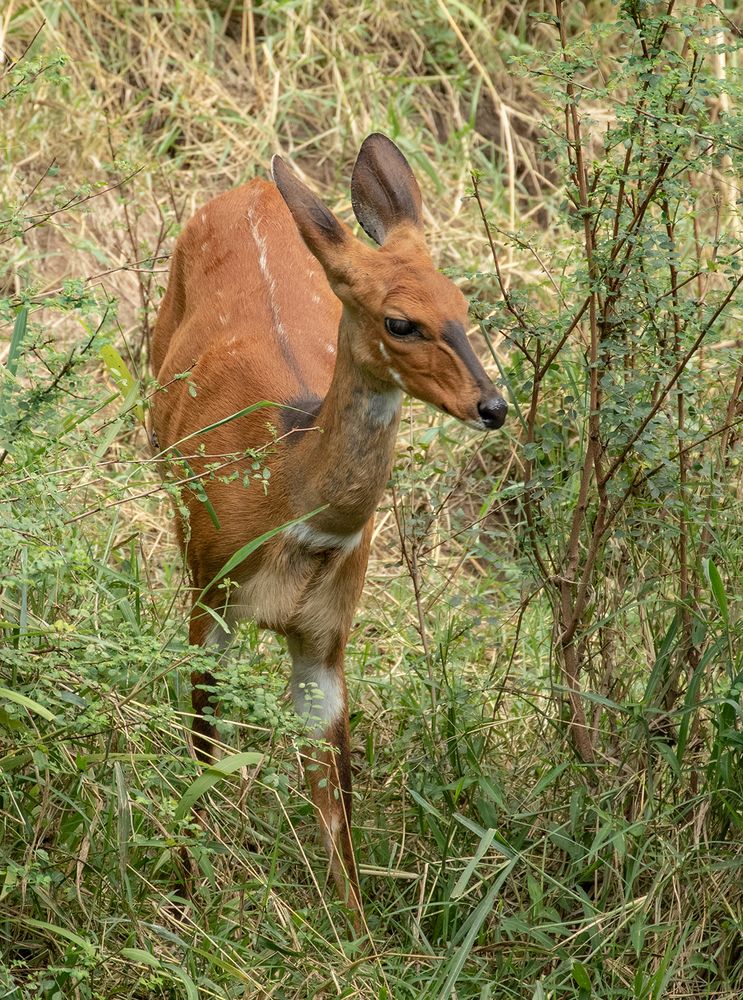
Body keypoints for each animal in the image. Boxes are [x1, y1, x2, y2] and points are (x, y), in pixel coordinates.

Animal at [153, 133, 508, 920]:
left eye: (462, 303)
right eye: (400, 321)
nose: (493, 406)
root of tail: (257, 188)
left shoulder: (326, 637)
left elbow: (335, 795)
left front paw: (358, 931)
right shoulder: (209, 596)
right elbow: (200, 747)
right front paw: (188, 894)